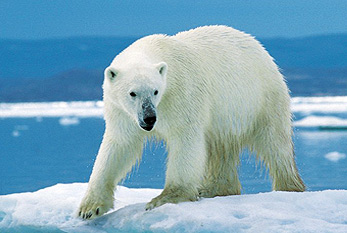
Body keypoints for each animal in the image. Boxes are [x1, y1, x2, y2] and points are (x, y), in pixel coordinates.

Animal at [78, 25, 304, 218]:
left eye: (155, 91)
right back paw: (214, 188)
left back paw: (288, 186)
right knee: (221, 148)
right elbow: (119, 145)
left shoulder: (183, 93)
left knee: (275, 143)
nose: (150, 118)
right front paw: (89, 208)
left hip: (260, 98)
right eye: (132, 93)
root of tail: (260, 48)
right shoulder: (121, 112)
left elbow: (185, 140)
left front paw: (164, 198)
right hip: (226, 117)